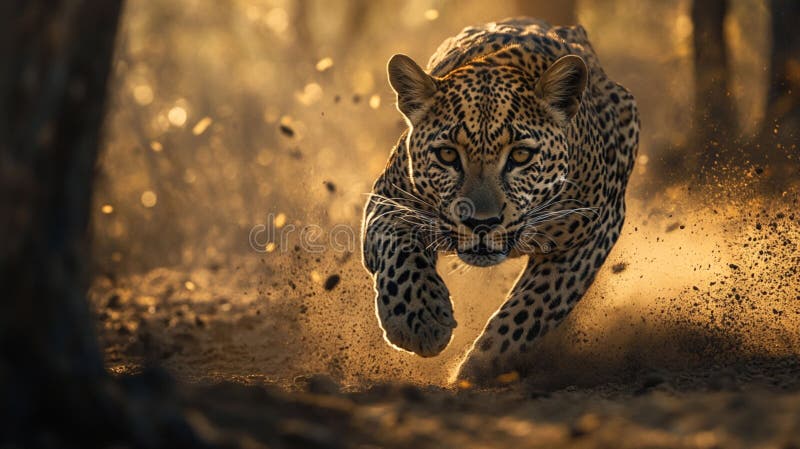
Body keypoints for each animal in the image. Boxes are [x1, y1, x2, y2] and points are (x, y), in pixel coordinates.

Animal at [361, 18, 639, 383]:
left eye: (520, 155)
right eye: (447, 155)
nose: (482, 223)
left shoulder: (596, 226)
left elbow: (535, 305)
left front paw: (477, 367)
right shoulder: (390, 199)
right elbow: (399, 253)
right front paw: (419, 321)